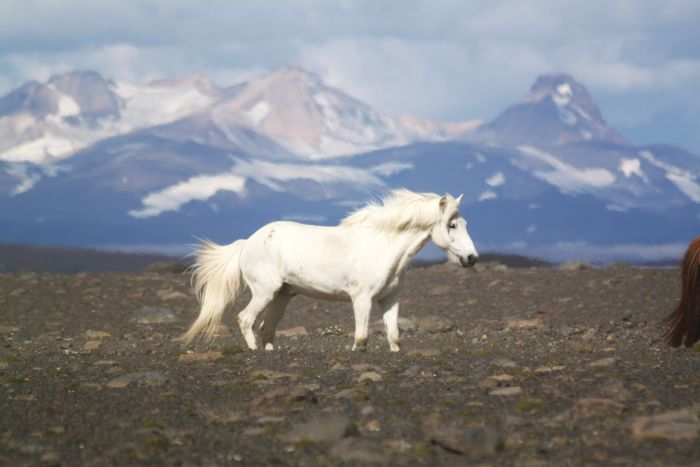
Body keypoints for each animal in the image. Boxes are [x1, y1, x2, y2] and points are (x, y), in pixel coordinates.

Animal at [180, 188, 478, 352]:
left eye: (464, 223)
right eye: (452, 225)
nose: (472, 258)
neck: (383, 247)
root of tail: (247, 242)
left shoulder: (389, 300)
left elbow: (394, 337)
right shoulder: (361, 299)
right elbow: (361, 338)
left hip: (281, 296)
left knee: (267, 329)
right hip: (264, 292)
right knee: (245, 319)